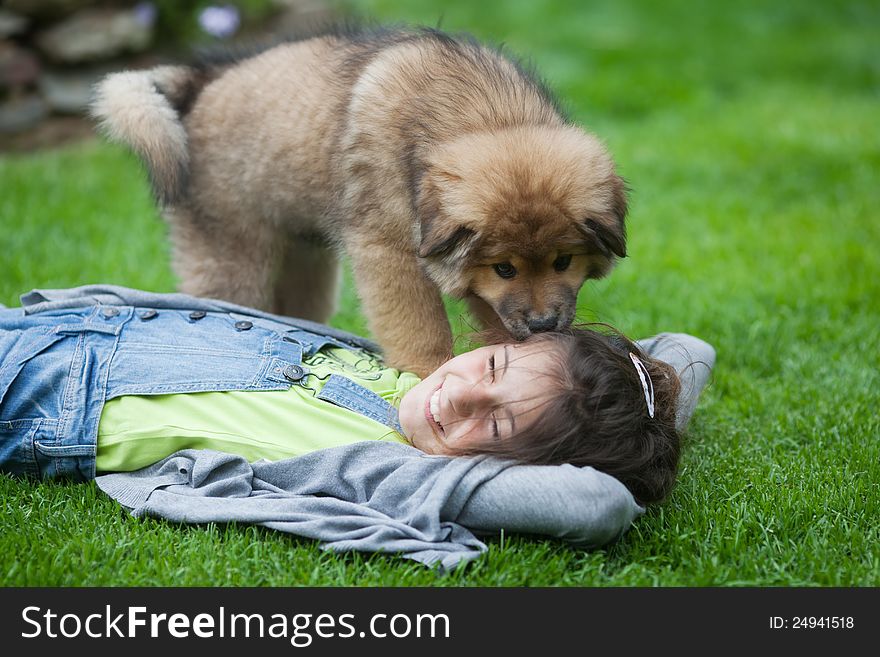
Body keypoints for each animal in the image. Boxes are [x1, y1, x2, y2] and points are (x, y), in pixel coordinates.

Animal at [91, 25, 624, 376]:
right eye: (505, 268)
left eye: (563, 261)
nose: (543, 325)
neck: (485, 118)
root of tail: (196, 88)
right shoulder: (389, 253)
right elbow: (420, 327)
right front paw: (431, 374)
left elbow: (490, 311)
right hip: (232, 255)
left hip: (305, 259)